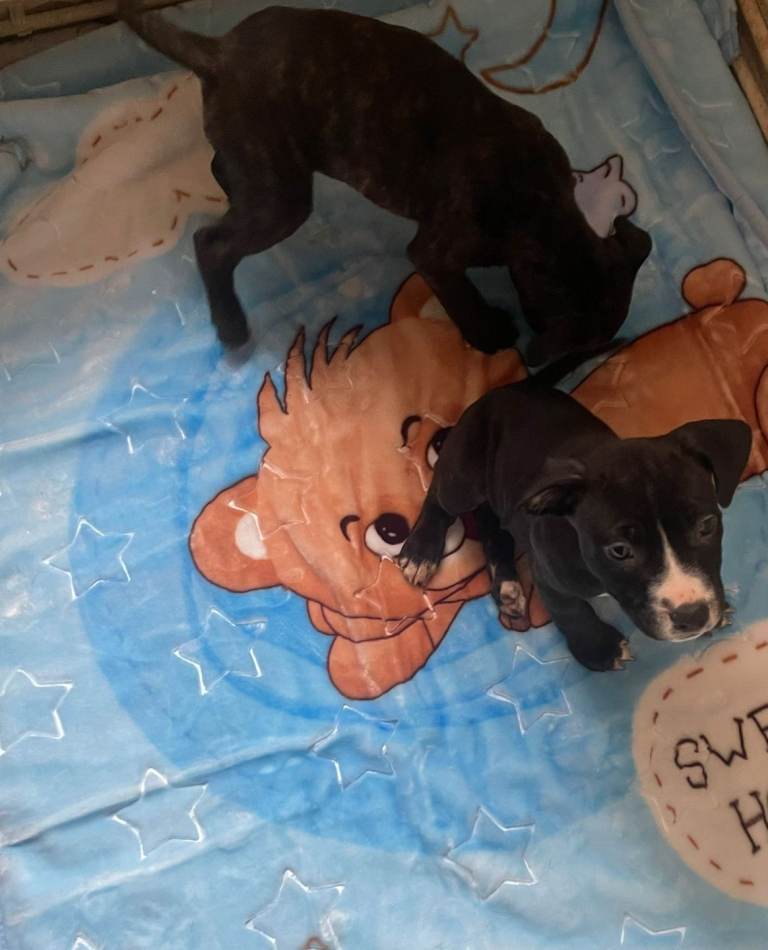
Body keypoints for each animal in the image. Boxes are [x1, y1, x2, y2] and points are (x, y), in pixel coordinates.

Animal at [119, 3, 651, 365]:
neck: (543, 206)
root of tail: (219, 51)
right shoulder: (436, 255)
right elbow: (461, 296)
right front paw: (488, 334)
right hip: (282, 202)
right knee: (212, 244)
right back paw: (230, 323)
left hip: (265, 168)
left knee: (223, 170)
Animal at [397, 378, 752, 671]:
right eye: (619, 551)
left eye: (706, 526)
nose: (693, 616)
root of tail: (500, 390)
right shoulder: (548, 576)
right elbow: (571, 611)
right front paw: (599, 650)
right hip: (464, 477)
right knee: (439, 495)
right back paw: (420, 552)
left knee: (493, 528)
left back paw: (507, 585)